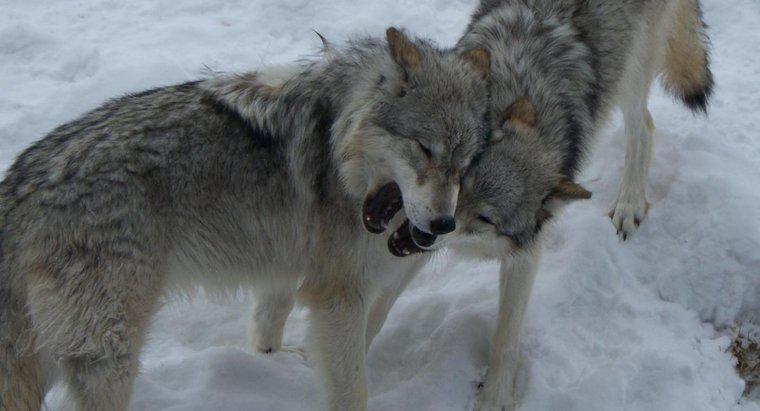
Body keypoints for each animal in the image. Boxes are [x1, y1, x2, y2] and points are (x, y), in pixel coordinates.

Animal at [0, 27, 492, 410]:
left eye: (465, 161)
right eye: (424, 149)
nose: (444, 227)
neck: (338, 147)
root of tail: (21, 180)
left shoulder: (287, 271)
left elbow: (267, 324)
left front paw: (270, 364)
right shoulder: (340, 297)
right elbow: (353, 392)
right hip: (108, 355)